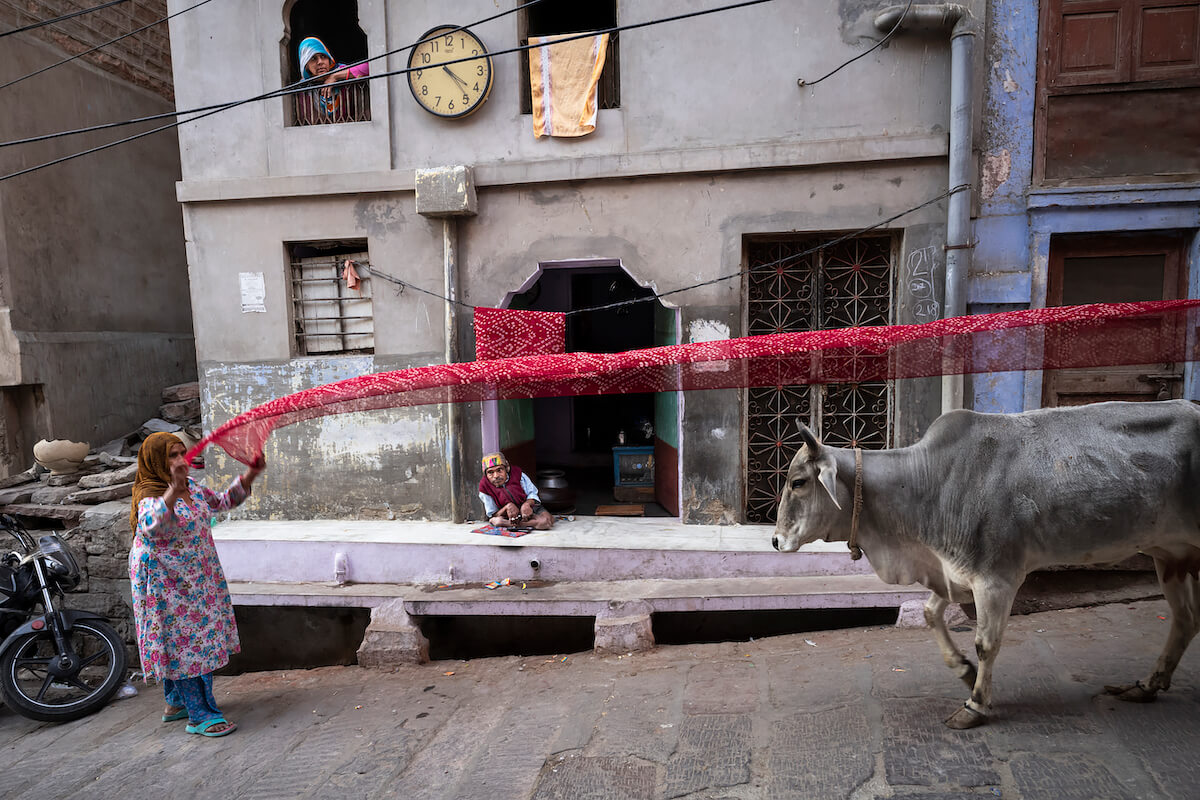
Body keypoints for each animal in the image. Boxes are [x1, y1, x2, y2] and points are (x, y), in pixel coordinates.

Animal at [772, 398, 1195, 729]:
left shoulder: (996, 580)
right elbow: (931, 614)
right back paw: (1147, 686)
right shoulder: (953, 572)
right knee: (1186, 619)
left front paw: (975, 704)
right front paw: (964, 671)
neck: (929, 485)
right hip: (1171, 554)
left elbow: (985, 642)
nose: (775, 540)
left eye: (798, 482)